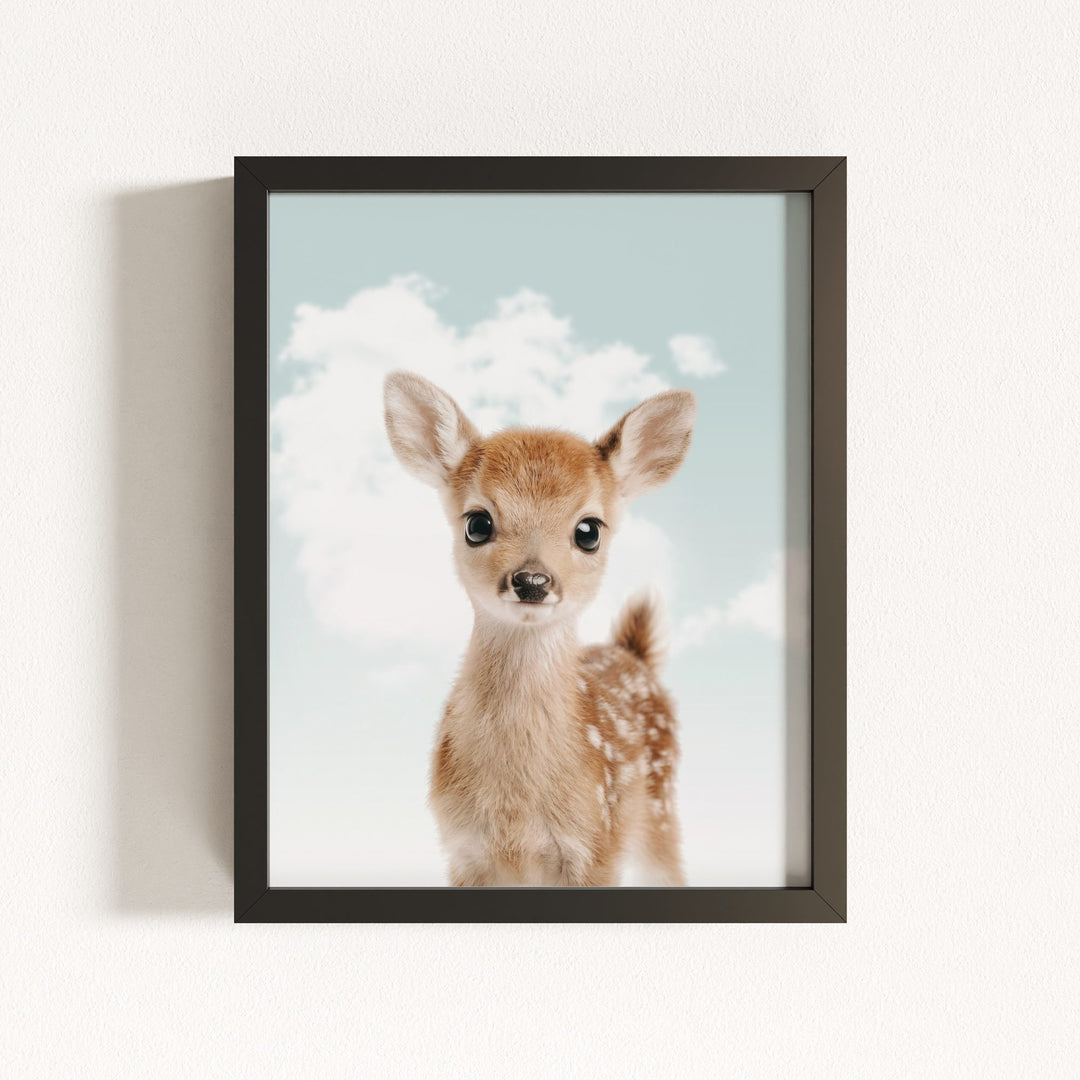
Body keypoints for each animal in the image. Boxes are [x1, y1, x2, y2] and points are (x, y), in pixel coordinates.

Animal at [383, 371, 696, 886]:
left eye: (589, 531)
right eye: (477, 523)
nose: (532, 581)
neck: (516, 812)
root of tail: (634, 653)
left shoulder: (596, 845)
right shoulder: (463, 850)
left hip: (660, 808)